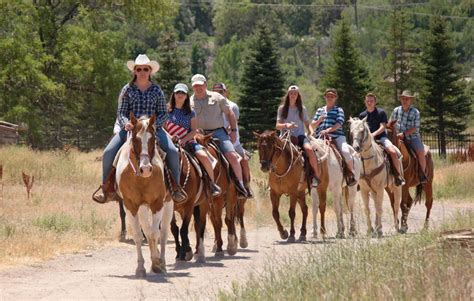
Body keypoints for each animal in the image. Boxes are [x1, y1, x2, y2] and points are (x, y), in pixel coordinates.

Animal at [115, 113, 173, 278]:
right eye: (135, 139)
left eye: (153, 139)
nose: (146, 169)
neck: (141, 179)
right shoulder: (130, 205)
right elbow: (139, 235)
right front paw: (141, 267)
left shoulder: (157, 203)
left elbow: (155, 234)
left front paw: (156, 264)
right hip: (141, 208)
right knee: (147, 230)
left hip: (168, 203)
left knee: (163, 233)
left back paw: (162, 262)